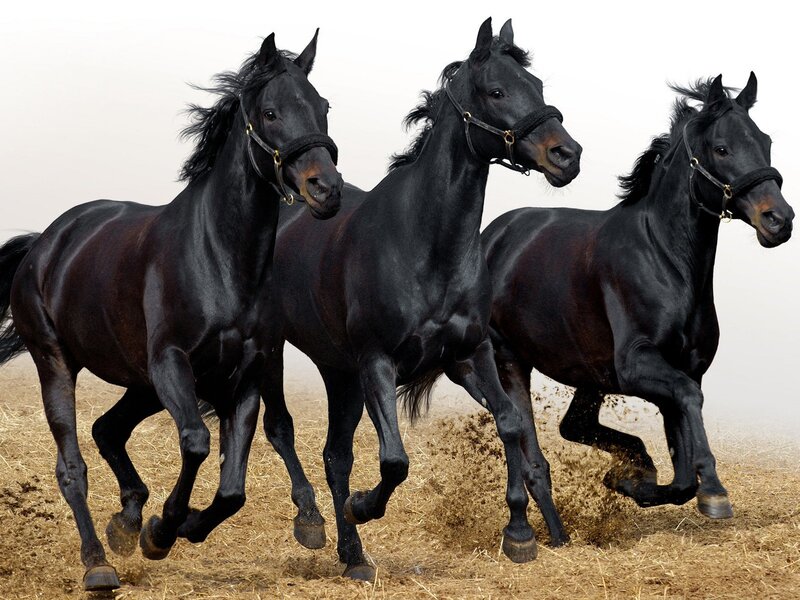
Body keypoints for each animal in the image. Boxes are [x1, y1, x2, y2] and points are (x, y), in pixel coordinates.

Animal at [0, 31, 341, 591]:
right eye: (270, 112)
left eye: (324, 107)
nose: (326, 190)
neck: (219, 259)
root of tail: (44, 244)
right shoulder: (171, 364)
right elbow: (198, 442)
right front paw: (162, 529)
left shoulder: (245, 376)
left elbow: (233, 488)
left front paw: (176, 527)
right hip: (57, 364)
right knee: (72, 467)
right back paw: (98, 563)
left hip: (140, 383)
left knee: (107, 429)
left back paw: (126, 520)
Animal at [258, 18, 581, 579]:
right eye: (497, 91)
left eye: (537, 86)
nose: (567, 155)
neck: (425, 246)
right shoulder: (378, 363)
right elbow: (394, 460)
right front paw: (363, 506)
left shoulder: (469, 355)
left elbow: (511, 423)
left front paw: (519, 534)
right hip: (278, 350)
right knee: (283, 430)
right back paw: (313, 523)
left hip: (339, 372)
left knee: (335, 456)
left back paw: (353, 557)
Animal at [482, 73, 792, 522]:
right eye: (721, 148)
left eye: (765, 141)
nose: (779, 220)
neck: (665, 260)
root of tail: (491, 236)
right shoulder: (637, 366)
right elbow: (689, 402)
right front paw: (714, 492)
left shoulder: (682, 369)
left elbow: (682, 472)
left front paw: (631, 482)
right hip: (511, 359)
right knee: (530, 440)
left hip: (589, 374)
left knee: (573, 426)